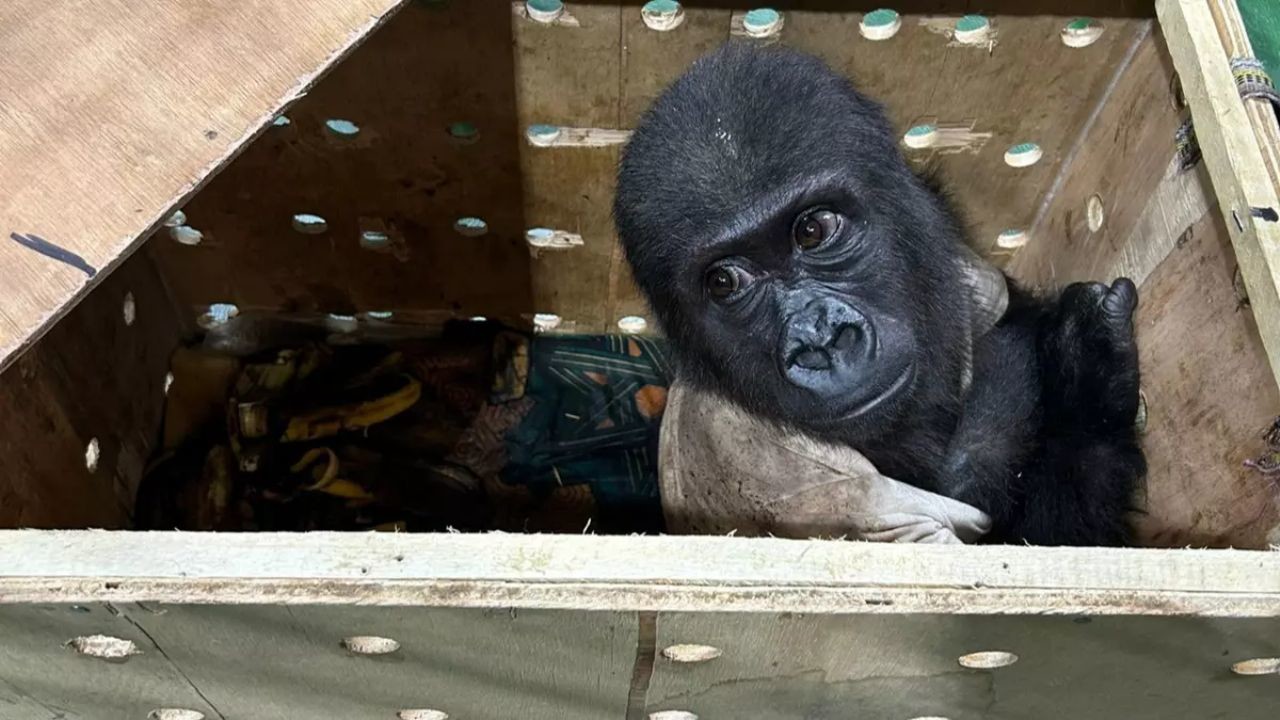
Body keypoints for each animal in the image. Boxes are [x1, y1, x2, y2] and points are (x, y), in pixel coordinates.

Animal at [614, 43, 1146, 543]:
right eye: (725, 282)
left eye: (813, 230)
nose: (820, 339)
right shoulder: (784, 473)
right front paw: (1087, 385)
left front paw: (1085, 369)